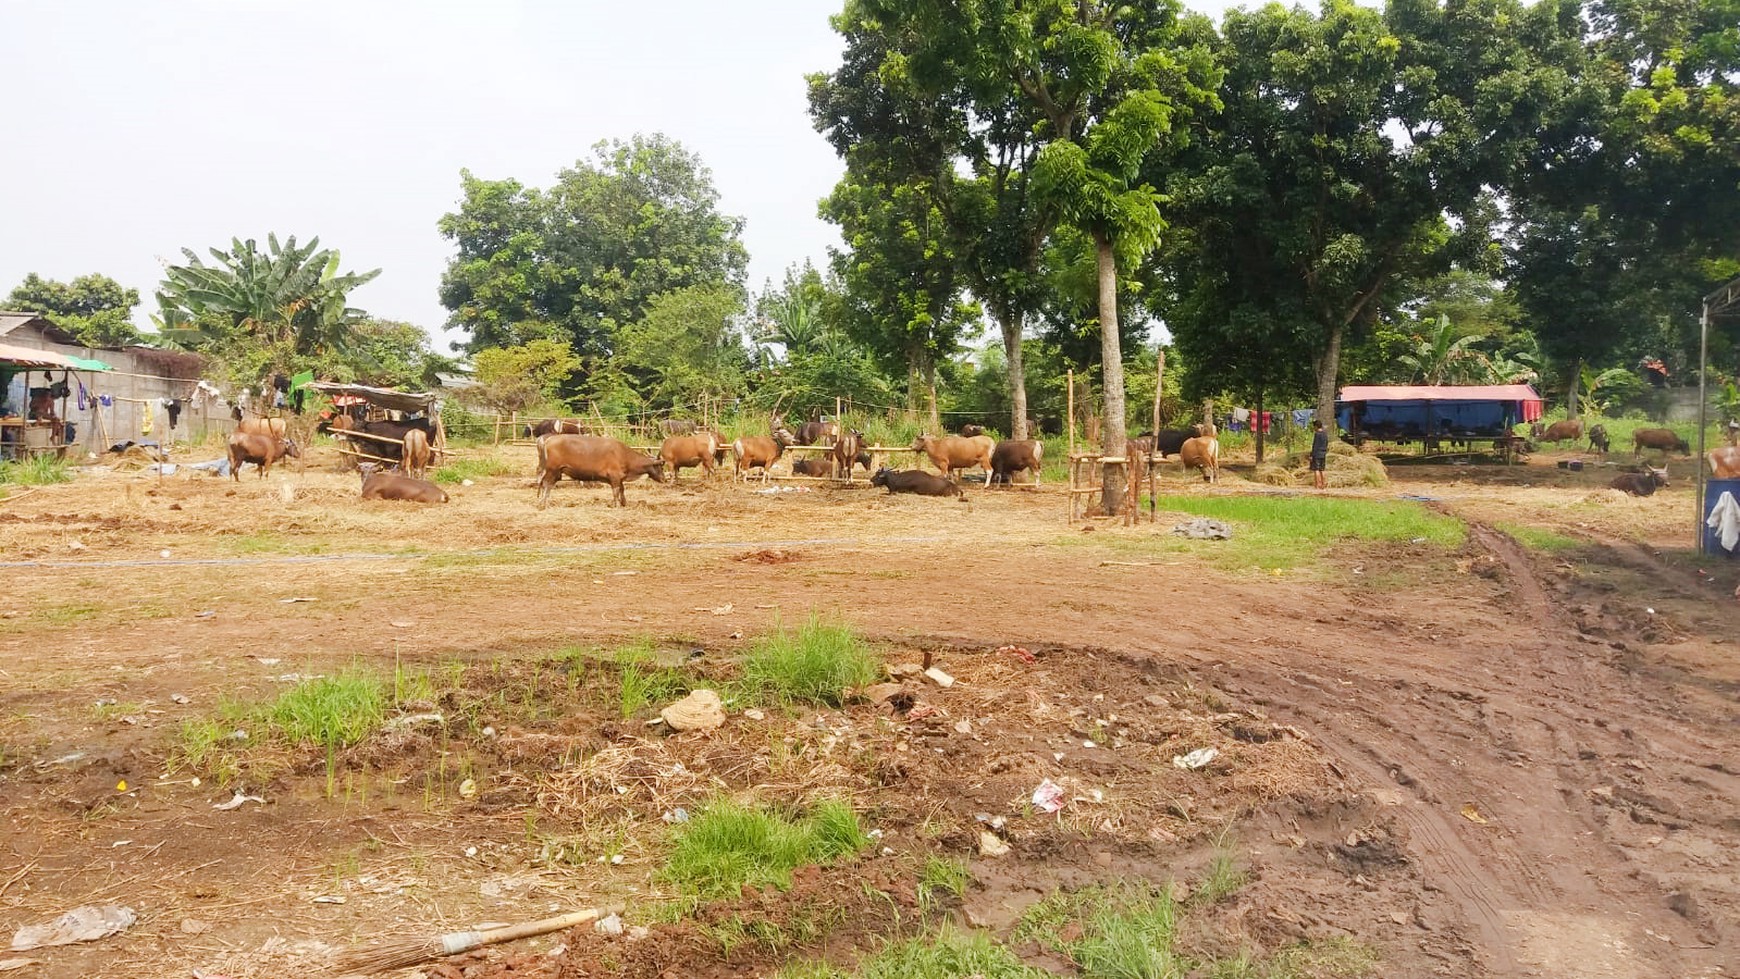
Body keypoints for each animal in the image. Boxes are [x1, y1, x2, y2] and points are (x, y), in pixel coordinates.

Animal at [532, 438, 661, 514]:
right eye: (660, 465)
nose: (664, 479)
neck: (624, 455)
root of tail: (547, 440)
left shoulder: (618, 478)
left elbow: (622, 489)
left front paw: (623, 503)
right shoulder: (614, 477)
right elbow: (616, 491)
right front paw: (616, 505)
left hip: (554, 471)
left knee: (544, 484)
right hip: (552, 470)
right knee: (546, 484)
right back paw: (543, 504)